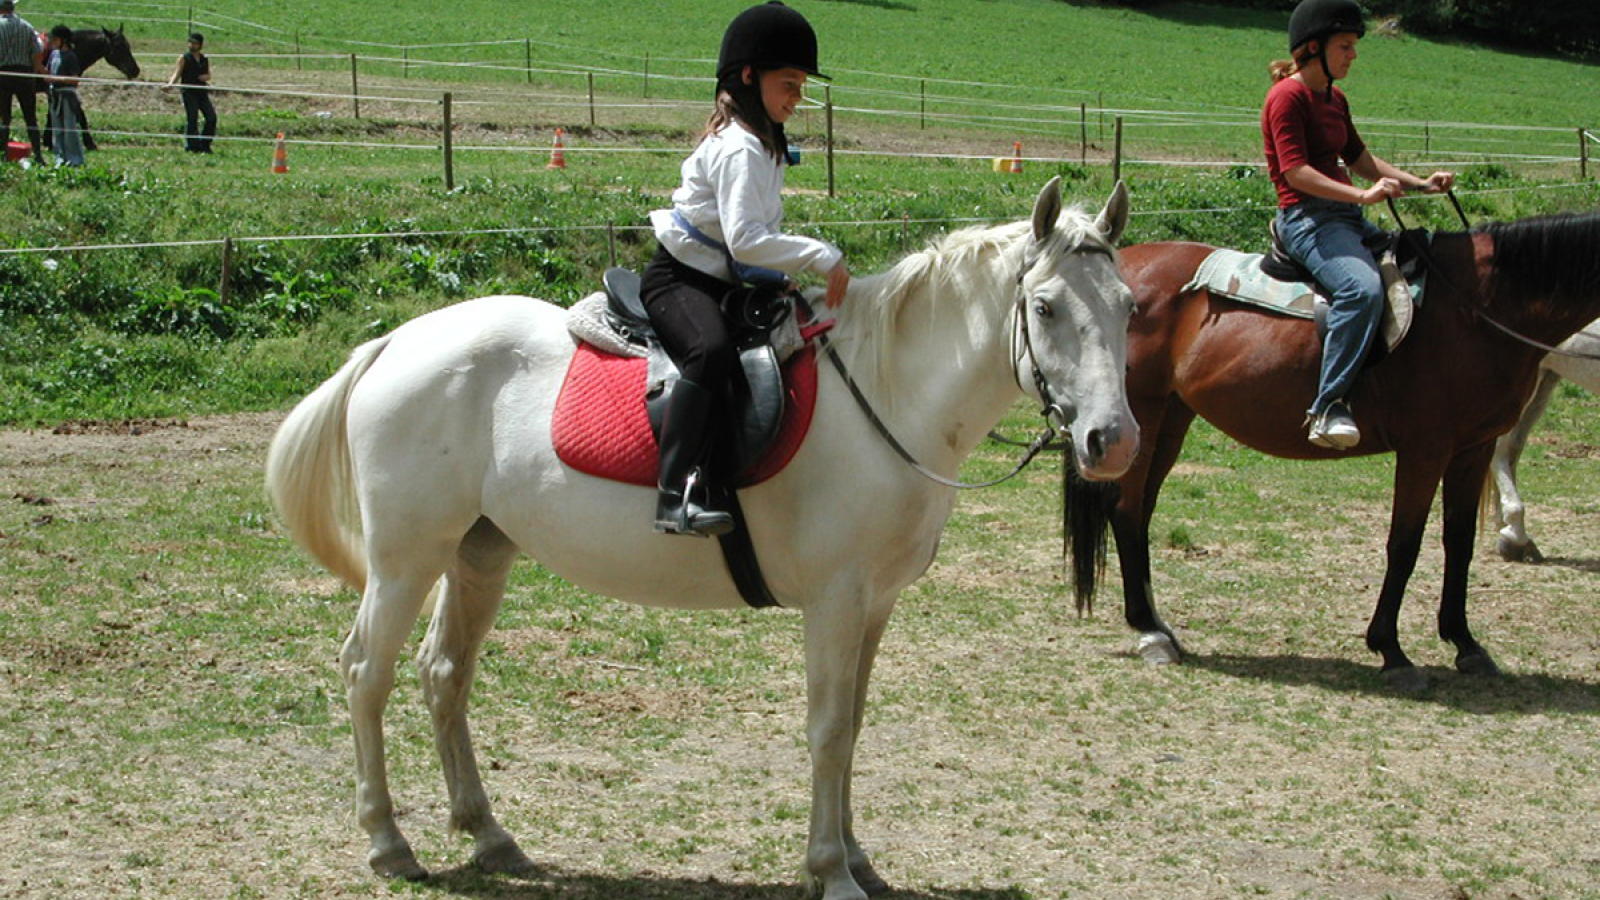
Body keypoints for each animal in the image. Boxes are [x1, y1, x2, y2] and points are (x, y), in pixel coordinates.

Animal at [265, 176, 1139, 896]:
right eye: (1046, 306)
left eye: (1129, 305)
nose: (1112, 440)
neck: (886, 393)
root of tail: (396, 343)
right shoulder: (834, 603)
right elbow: (828, 732)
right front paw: (831, 871)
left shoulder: (874, 605)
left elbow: (854, 725)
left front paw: (857, 857)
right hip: (406, 559)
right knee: (366, 672)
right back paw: (388, 842)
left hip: (479, 554)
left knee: (443, 673)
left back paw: (488, 835)